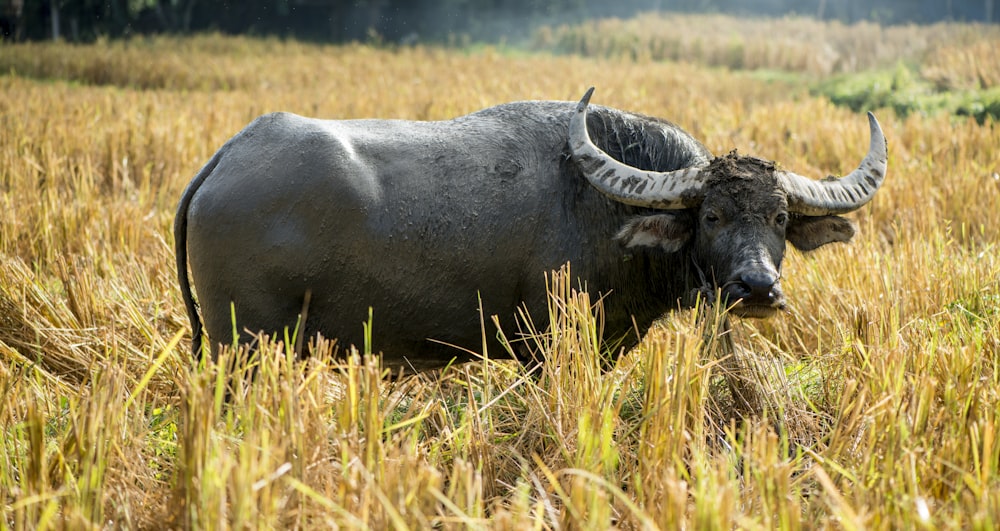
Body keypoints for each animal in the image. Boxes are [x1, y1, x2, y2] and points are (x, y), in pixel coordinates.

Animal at [176, 88, 888, 370]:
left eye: (779, 219)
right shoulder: (548, 346)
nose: (757, 289)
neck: (604, 211)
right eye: (710, 216)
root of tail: (229, 155)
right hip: (244, 343)